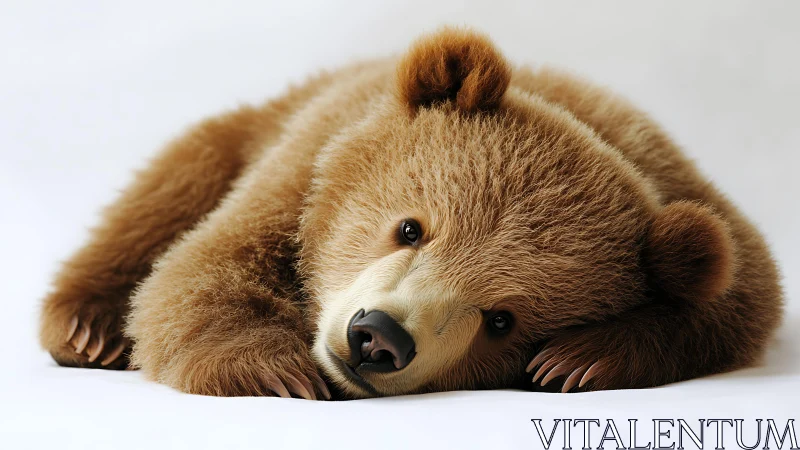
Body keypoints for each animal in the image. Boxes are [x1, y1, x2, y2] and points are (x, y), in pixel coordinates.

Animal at [39, 27, 783, 399]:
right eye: (410, 227)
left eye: (502, 319)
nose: (378, 337)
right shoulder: (305, 168)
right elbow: (200, 271)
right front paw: (275, 371)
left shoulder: (701, 209)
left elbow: (734, 298)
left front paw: (579, 358)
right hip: (239, 137)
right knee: (164, 195)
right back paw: (87, 328)